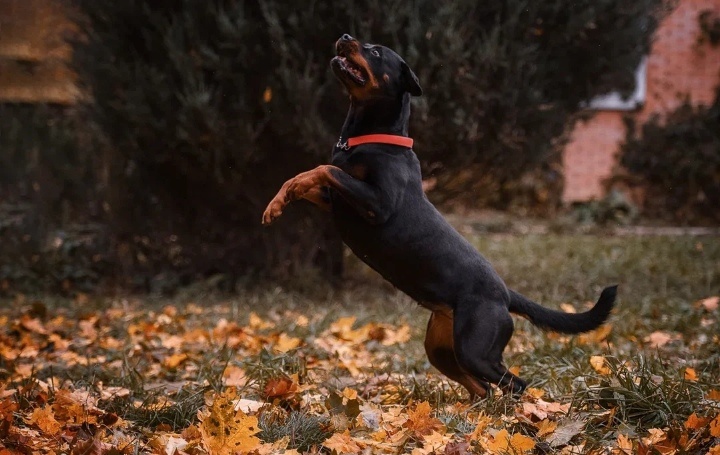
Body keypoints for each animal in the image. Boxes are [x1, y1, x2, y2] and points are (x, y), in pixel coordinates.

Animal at [262, 34, 616, 400]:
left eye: (376, 52)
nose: (345, 37)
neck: (367, 137)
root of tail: (504, 294)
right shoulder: (337, 201)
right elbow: (306, 176)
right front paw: (276, 203)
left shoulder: (378, 203)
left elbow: (325, 169)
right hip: (442, 348)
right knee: (482, 387)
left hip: (476, 348)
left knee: (514, 383)